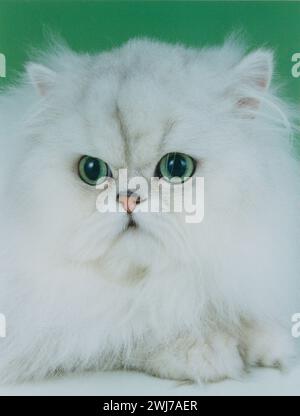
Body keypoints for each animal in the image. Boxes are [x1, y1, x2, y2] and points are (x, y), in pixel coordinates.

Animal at [0, 37, 298, 386]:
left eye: (177, 167)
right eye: (91, 170)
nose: (128, 199)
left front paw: (271, 343)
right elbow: (133, 330)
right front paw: (206, 351)